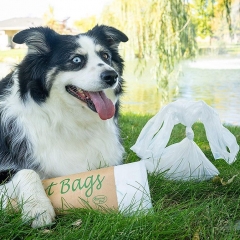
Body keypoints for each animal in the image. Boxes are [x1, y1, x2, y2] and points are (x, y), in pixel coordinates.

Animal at [0, 25, 127, 228]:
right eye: (76, 60)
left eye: (106, 56)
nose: (112, 76)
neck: (67, 119)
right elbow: (27, 171)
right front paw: (38, 208)